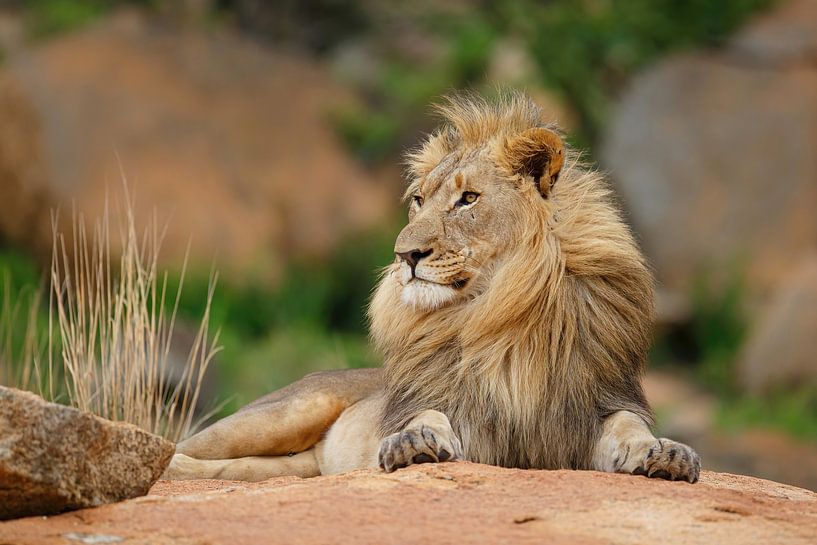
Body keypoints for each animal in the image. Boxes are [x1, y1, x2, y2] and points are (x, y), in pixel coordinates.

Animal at [164, 91, 700, 482]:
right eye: (418, 200)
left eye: (468, 199)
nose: (405, 255)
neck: (504, 315)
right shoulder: (448, 404)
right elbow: (427, 416)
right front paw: (412, 443)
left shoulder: (592, 407)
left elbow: (629, 427)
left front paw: (665, 452)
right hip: (289, 410)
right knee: (181, 446)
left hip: (292, 462)